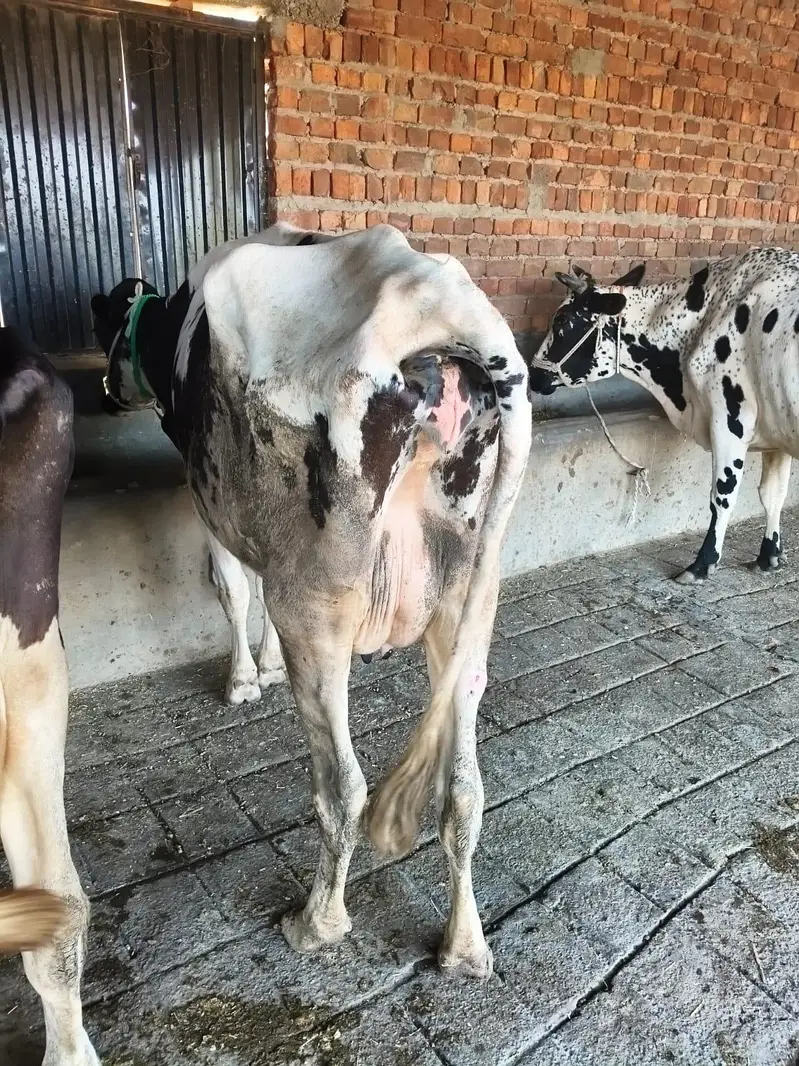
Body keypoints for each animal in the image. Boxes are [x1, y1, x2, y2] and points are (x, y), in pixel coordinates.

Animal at [90, 222, 532, 977]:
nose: (107, 390)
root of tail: (442, 303)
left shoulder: (212, 497)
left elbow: (233, 584)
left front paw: (244, 680)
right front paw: (264, 667)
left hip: (317, 605)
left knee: (343, 789)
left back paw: (316, 923)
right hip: (468, 598)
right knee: (465, 790)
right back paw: (465, 946)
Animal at [527, 248, 799, 583]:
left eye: (562, 319)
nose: (533, 374)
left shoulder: (729, 419)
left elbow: (722, 496)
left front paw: (702, 564)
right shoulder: (776, 428)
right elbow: (773, 494)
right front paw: (769, 555)